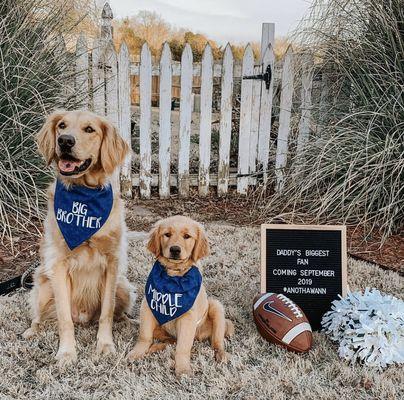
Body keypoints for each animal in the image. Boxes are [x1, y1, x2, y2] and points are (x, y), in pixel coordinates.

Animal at [24, 111, 136, 368]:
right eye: (62, 125)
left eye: (89, 129)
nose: (65, 141)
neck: (84, 197)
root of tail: (84, 318)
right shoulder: (58, 265)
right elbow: (64, 319)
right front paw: (66, 353)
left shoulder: (112, 263)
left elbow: (107, 313)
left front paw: (105, 346)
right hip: (42, 286)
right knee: (40, 317)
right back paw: (31, 331)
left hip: (123, 287)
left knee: (118, 313)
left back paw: (130, 321)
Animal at [126, 216, 234, 376]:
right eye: (167, 234)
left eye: (187, 236)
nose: (175, 250)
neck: (173, 277)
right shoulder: (147, 307)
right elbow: (144, 336)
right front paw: (136, 353)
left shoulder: (188, 317)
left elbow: (183, 347)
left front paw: (182, 369)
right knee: (170, 341)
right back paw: (154, 348)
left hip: (216, 307)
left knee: (216, 341)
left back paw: (221, 355)